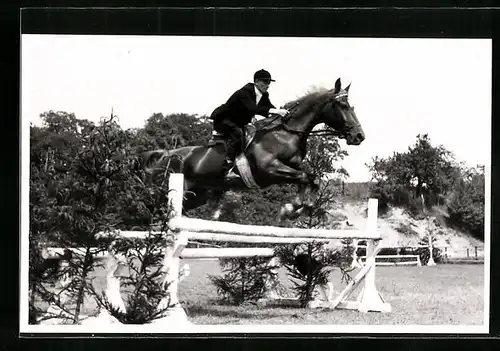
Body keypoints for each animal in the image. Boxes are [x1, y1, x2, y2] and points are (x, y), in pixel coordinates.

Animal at [139, 78, 366, 221]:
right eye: (343, 106)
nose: (359, 136)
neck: (286, 133)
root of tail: (164, 155)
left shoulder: (290, 168)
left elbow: (311, 178)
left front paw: (296, 209)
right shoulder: (270, 169)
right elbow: (304, 177)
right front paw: (290, 209)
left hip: (195, 197)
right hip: (169, 193)